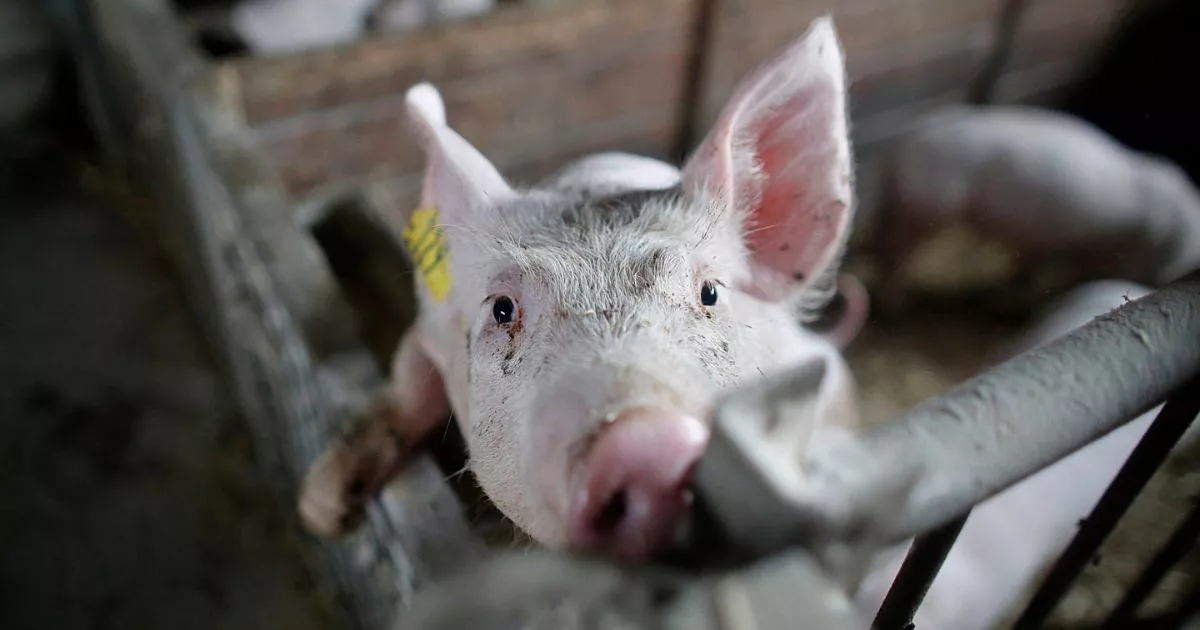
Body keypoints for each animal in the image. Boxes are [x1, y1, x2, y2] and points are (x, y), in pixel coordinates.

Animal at [297, 16, 867, 559]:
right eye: (502, 309)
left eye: (710, 293)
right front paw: (321, 509)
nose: (646, 443)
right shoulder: (427, 332)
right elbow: (407, 384)